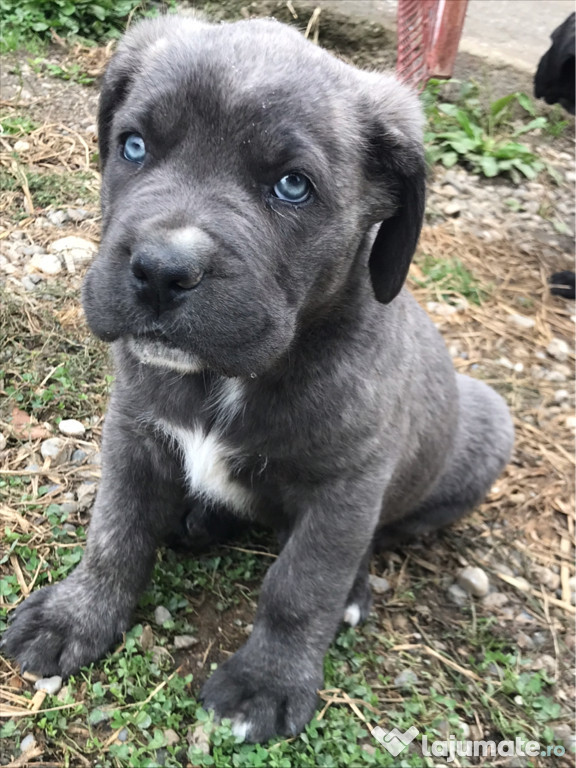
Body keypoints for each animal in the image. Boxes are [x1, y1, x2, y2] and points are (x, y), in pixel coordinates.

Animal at [0, 13, 512, 744]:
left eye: (292, 186)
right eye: (133, 146)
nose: (160, 271)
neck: (228, 378)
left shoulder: (345, 488)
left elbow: (301, 586)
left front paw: (267, 682)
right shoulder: (133, 431)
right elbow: (115, 531)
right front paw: (78, 614)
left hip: (487, 428)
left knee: (374, 539)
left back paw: (352, 587)